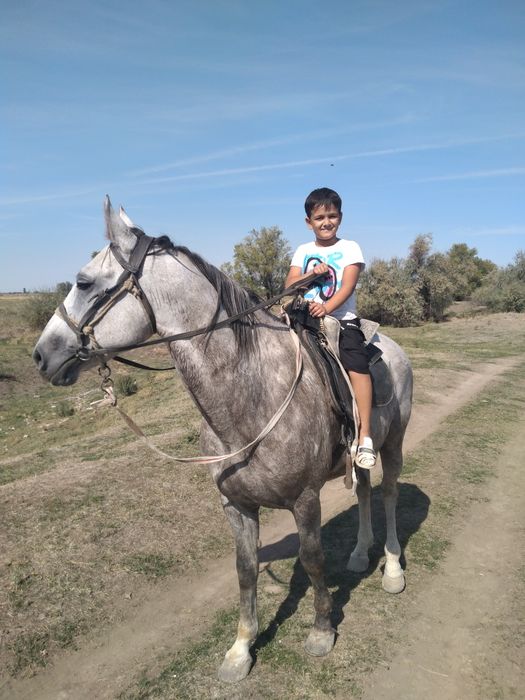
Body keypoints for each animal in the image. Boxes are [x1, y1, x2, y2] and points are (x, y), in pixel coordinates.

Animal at [33, 198, 413, 683]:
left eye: (83, 282)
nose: (41, 355)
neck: (249, 395)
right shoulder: (235, 504)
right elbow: (246, 570)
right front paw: (240, 649)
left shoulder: (305, 499)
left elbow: (312, 559)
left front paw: (321, 631)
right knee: (364, 491)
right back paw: (362, 555)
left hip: (393, 443)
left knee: (388, 493)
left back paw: (392, 569)